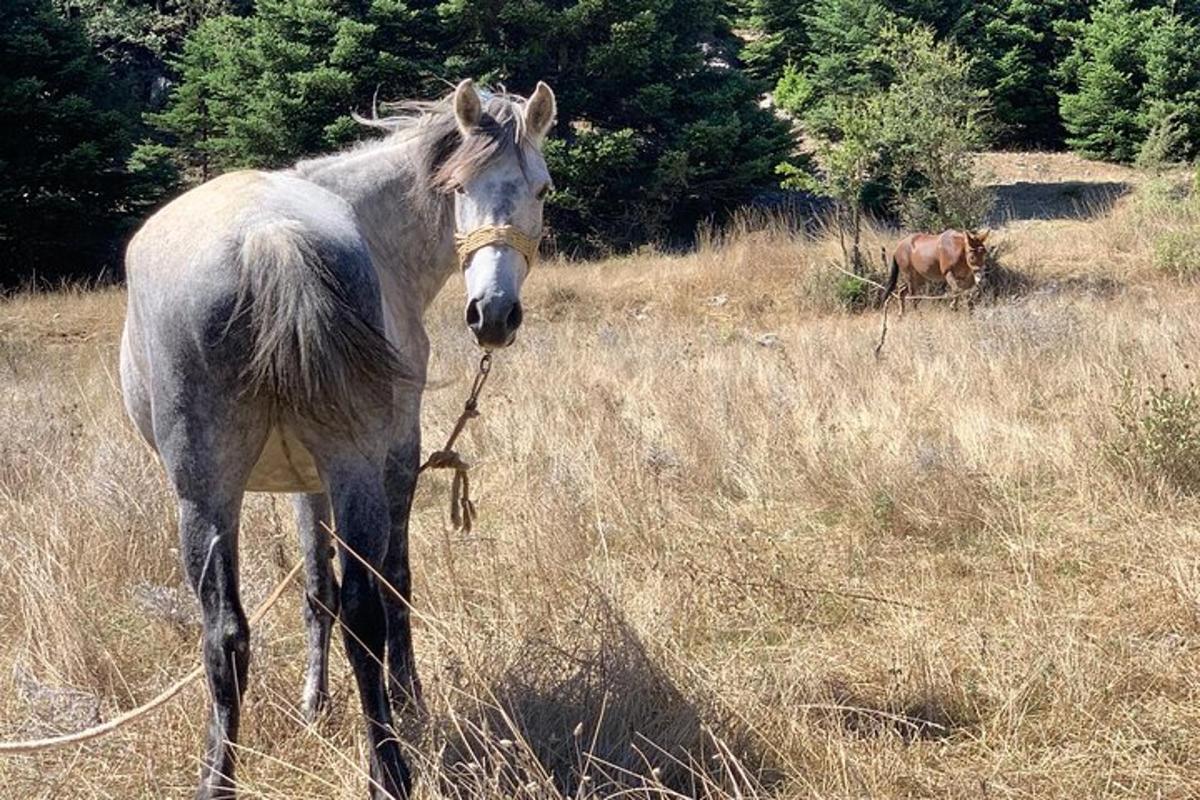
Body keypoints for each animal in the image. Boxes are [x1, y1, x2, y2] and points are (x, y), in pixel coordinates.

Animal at [117, 79, 556, 800]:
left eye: (541, 188)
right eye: (460, 187)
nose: (493, 315)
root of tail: (268, 235)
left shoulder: (311, 478)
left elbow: (319, 591)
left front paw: (314, 704)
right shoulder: (394, 459)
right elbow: (392, 581)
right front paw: (408, 700)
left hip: (209, 493)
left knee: (227, 637)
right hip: (345, 472)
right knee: (363, 609)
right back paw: (390, 764)